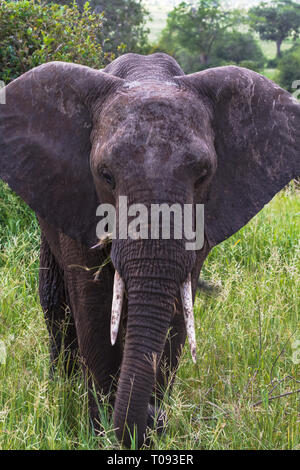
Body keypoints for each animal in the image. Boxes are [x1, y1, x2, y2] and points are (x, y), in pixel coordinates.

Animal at [0, 52, 298, 448]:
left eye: (204, 175)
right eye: (106, 175)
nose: (156, 418)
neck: (148, 76)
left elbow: (175, 311)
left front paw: (146, 434)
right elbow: (94, 308)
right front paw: (102, 433)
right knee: (55, 306)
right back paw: (60, 387)